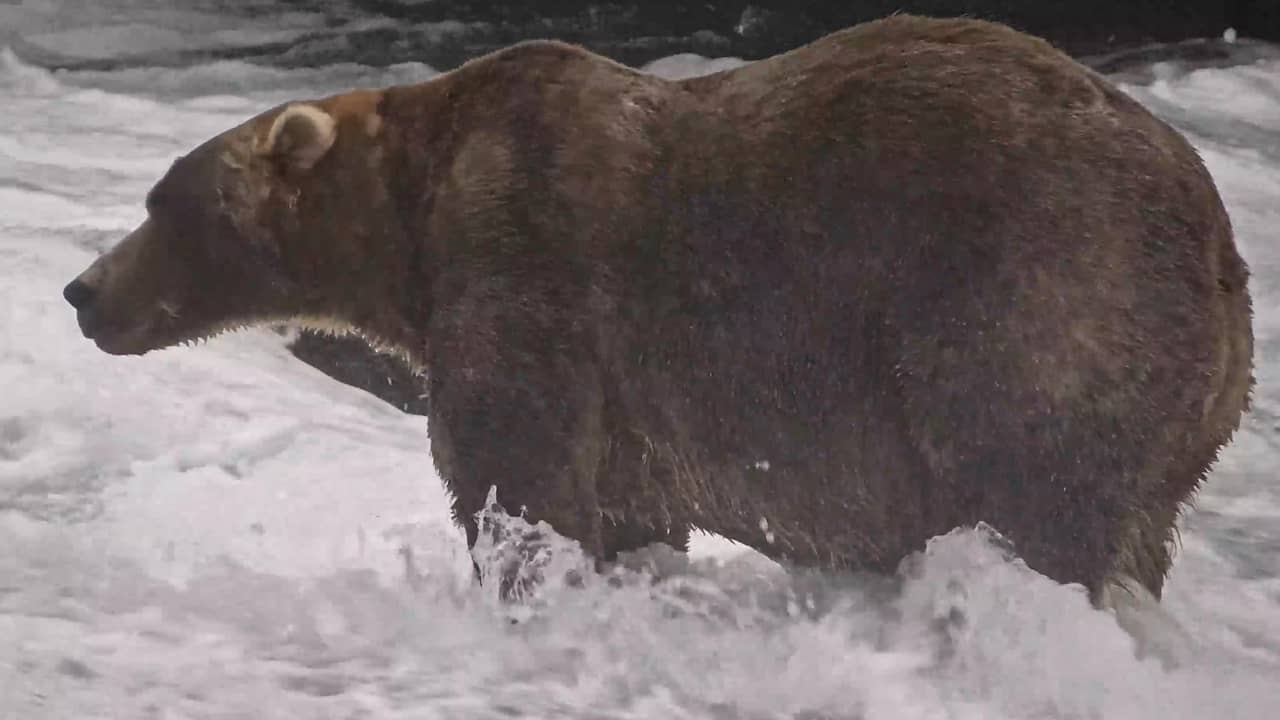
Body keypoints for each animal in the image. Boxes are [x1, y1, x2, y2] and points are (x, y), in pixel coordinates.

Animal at [63, 14, 1253, 606]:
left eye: (162, 202)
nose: (82, 291)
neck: (408, 223)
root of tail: (1217, 236)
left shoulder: (528, 265)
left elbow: (516, 476)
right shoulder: (629, 401)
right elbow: (626, 506)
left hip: (1035, 298)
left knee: (1035, 490)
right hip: (1185, 406)